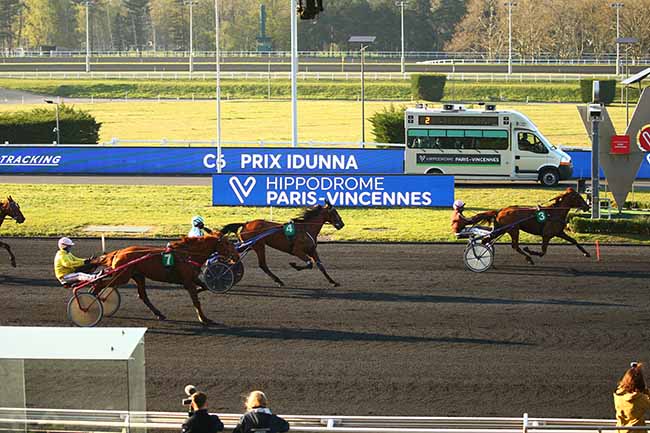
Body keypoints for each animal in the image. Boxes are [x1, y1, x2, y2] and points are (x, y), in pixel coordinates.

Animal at [92, 233, 237, 324]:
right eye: (227, 243)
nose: (236, 256)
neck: (188, 255)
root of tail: (119, 252)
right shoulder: (188, 281)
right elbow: (196, 301)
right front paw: (204, 319)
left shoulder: (193, 278)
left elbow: (205, 287)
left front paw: (200, 291)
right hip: (122, 276)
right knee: (100, 284)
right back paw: (93, 300)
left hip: (138, 276)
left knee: (142, 295)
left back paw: (159, 314)